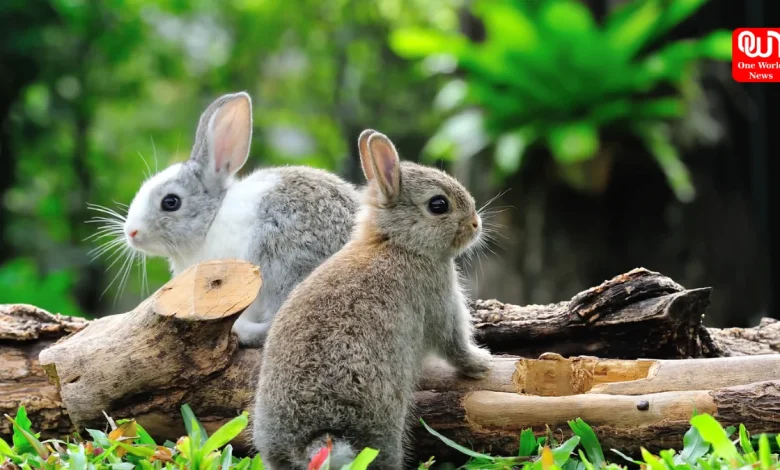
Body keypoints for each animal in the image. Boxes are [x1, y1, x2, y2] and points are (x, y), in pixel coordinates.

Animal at [252, 129, 493, 470]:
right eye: (438, 205)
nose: (475, 224)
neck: (397, 243)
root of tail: (315, 440)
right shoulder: (440, 303)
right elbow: (454, 344)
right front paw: (482, 363)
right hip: (383, 427)